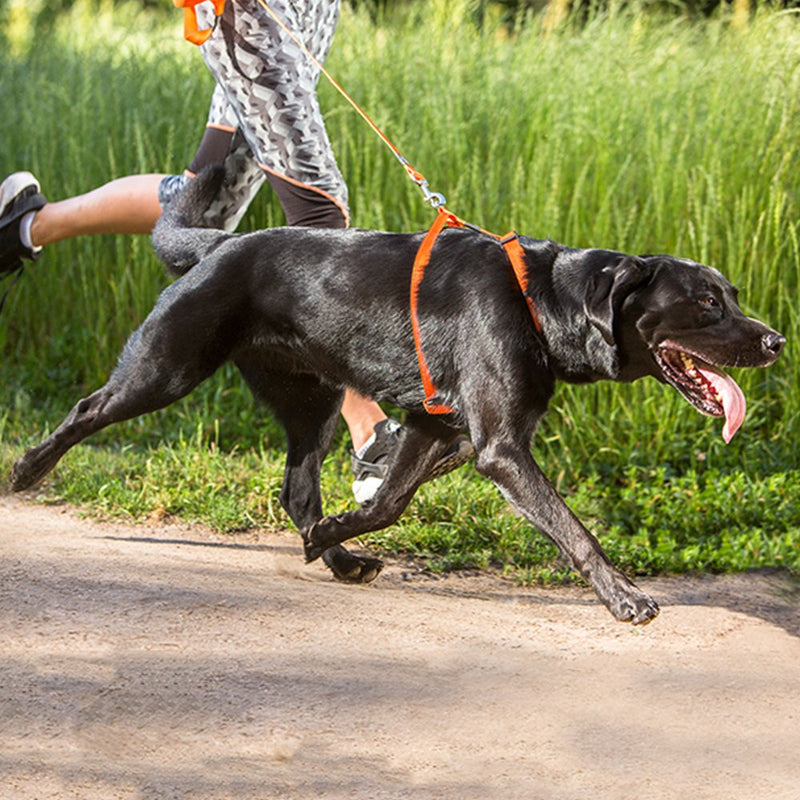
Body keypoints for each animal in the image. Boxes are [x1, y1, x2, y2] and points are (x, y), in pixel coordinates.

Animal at [10, 170, 788, 624]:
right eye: (707, 303)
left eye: (733, 296)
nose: (778, 341)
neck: (545, 302)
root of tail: (216, 247)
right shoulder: (499, 447)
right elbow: (575, 530)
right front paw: (624, 597)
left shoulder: (439, 430)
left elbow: (387, 503)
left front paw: (336, 537)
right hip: (167, 366)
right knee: (87, 411)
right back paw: (26, 470)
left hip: (313, 403)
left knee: (297, 489)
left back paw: (338, 558)